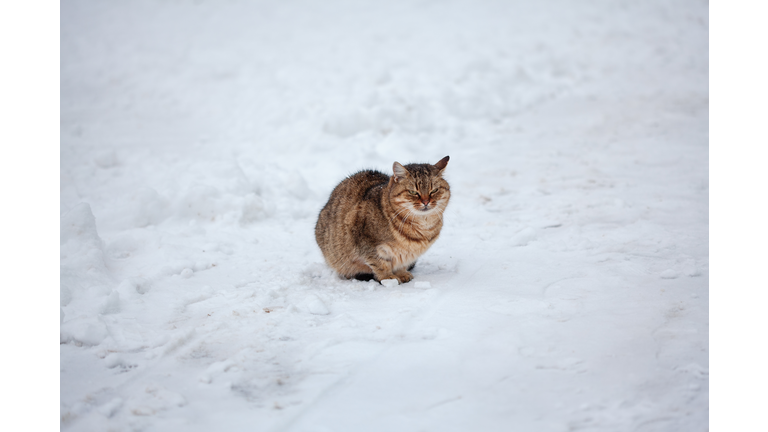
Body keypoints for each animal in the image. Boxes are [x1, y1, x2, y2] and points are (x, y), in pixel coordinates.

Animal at [316, 155, 450, 284]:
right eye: (413, 192)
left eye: (434, 190)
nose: (426, 202)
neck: (422, 225)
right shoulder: (367, 244)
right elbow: (380, 264)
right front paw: (388, 278)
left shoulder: (408, 254)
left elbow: (402, 264)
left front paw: (402, 273)